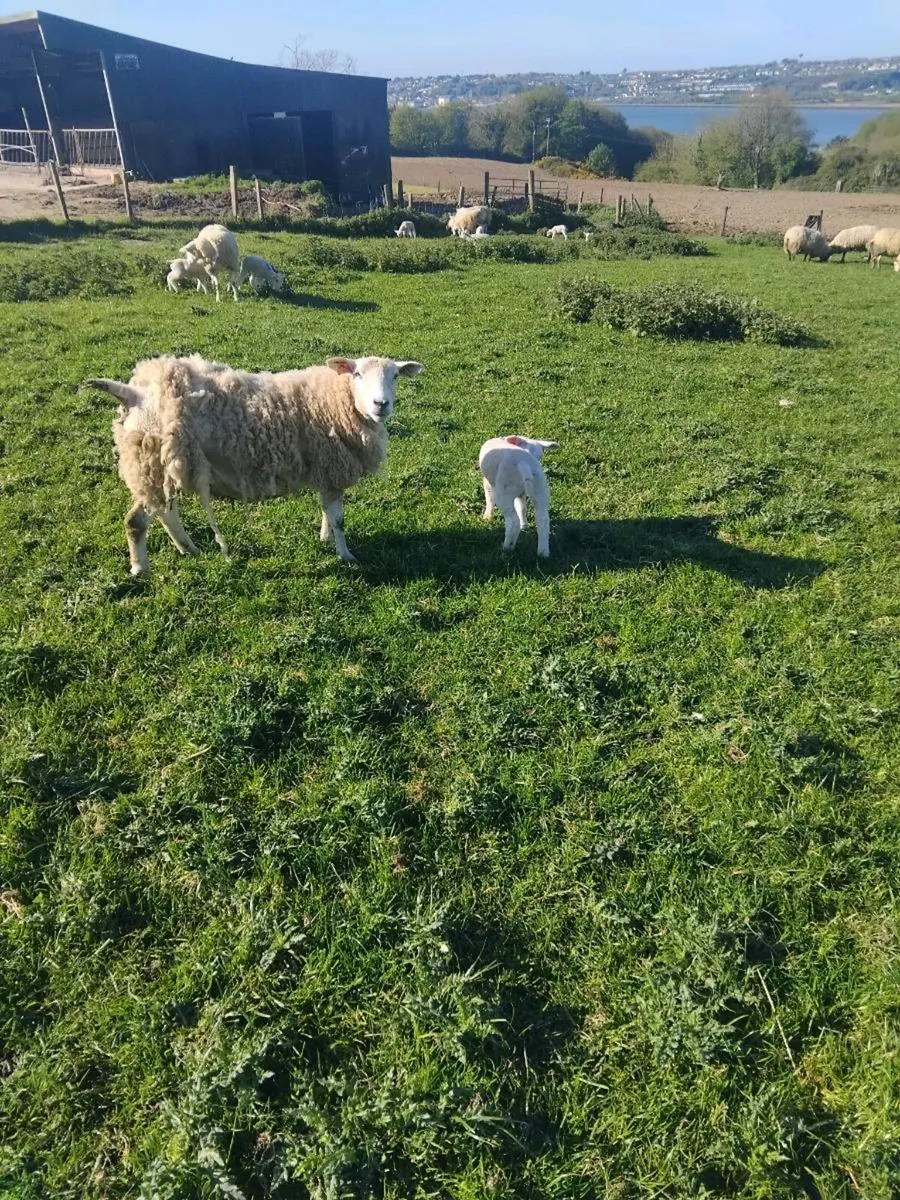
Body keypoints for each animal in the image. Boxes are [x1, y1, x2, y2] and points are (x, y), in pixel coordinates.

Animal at [84, 354, 424, 574]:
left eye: (395, 376)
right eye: (357, 375)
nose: (382, 404)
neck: (336, 399)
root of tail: (133, 392)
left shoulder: (325, 470)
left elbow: (327, 511)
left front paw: (325, 537)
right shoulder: (332, 466)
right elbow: (339, 520)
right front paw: (346, 555)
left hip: (162, 467)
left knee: (167, 513)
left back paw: (188, 549)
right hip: (151, 465)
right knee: (137, 521)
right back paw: (140, 569)